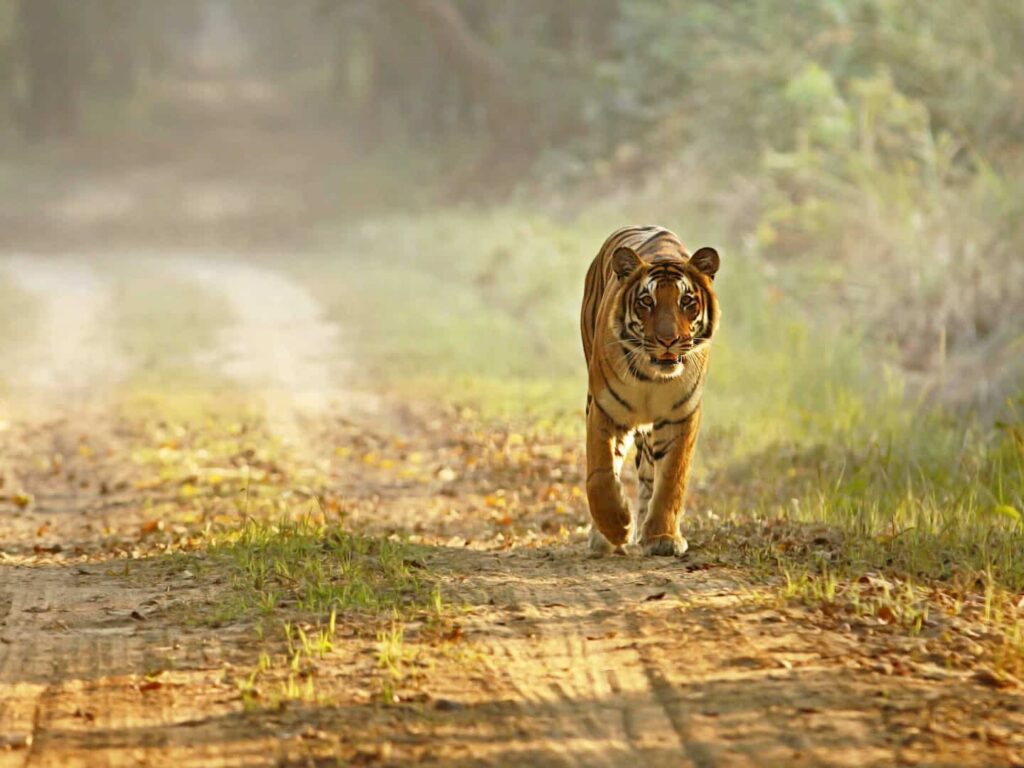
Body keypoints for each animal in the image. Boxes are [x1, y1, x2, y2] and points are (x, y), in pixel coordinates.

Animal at [580, 225, 720, 557]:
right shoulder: (604, 409)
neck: (651, 377)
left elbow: (671, 479)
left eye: (686, 301)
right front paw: (617, 526)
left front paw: (662, 537)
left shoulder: (681, 416)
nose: (668, 340)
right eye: (647, 301)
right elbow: (600, 475)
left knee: (648, 474)